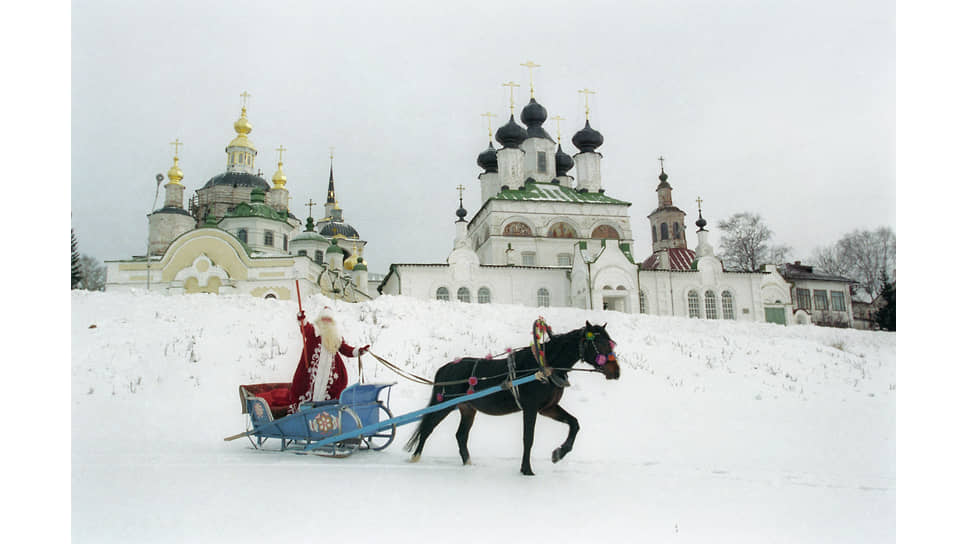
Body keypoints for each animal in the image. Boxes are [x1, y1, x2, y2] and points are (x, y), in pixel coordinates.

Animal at [406, 320, 620, 474]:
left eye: (610, 342)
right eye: (598, 343)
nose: (616, 372)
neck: (543, 366)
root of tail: (447, 367)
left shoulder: (547, 408)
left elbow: (574, 424)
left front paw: (558, 453)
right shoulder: (531, 408)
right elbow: (528, 438)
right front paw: (527, 470)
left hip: (467, 409)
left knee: (460, 436)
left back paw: (468, 463)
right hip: (445, 405)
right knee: (427, 428)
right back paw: (415, 458)